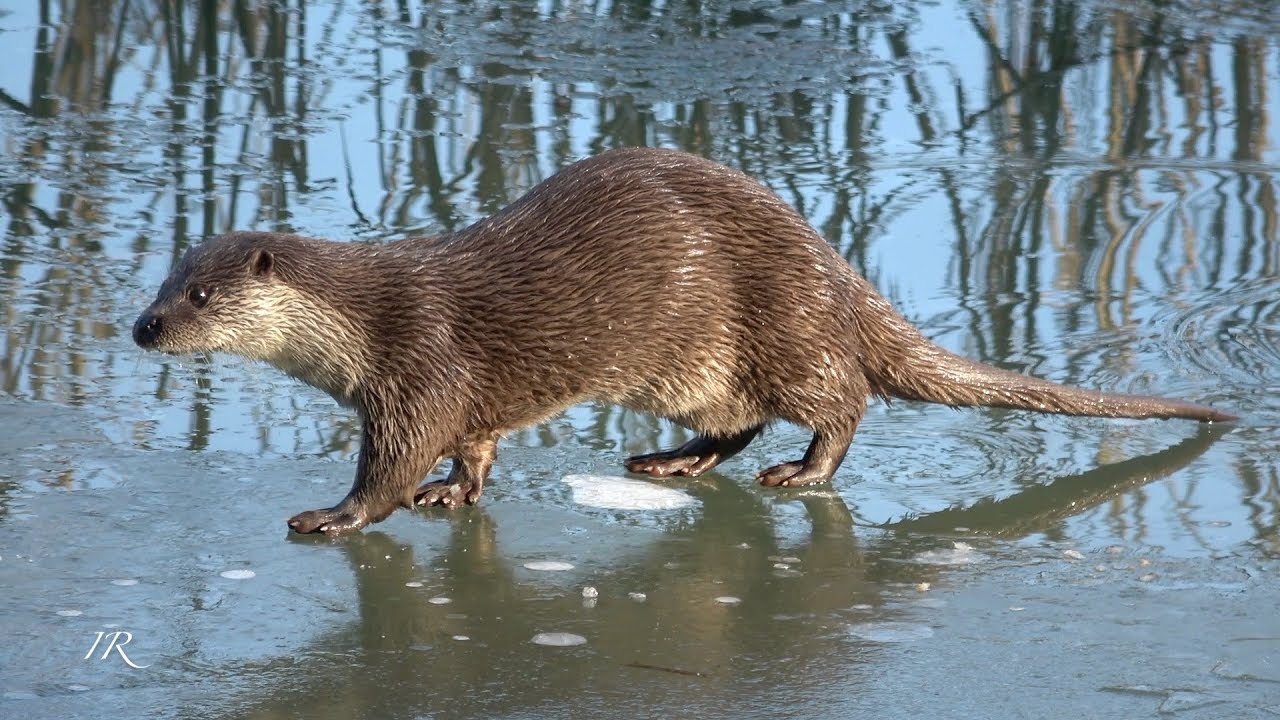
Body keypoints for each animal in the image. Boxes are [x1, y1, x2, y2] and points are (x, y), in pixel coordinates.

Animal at [133, 147, 1234, 535]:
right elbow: (474, 450)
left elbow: (391, 465)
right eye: (162, 277)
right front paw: (456, 494)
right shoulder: (457, 398)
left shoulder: (416, 368)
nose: (142, 326)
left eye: (200, 294)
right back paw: (668, 461)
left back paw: (800, 472)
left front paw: (336, 514)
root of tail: (831, 266)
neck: (365, 321)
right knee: (735, 421)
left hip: (783, 330)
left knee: (842, 401)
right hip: (701, 371)